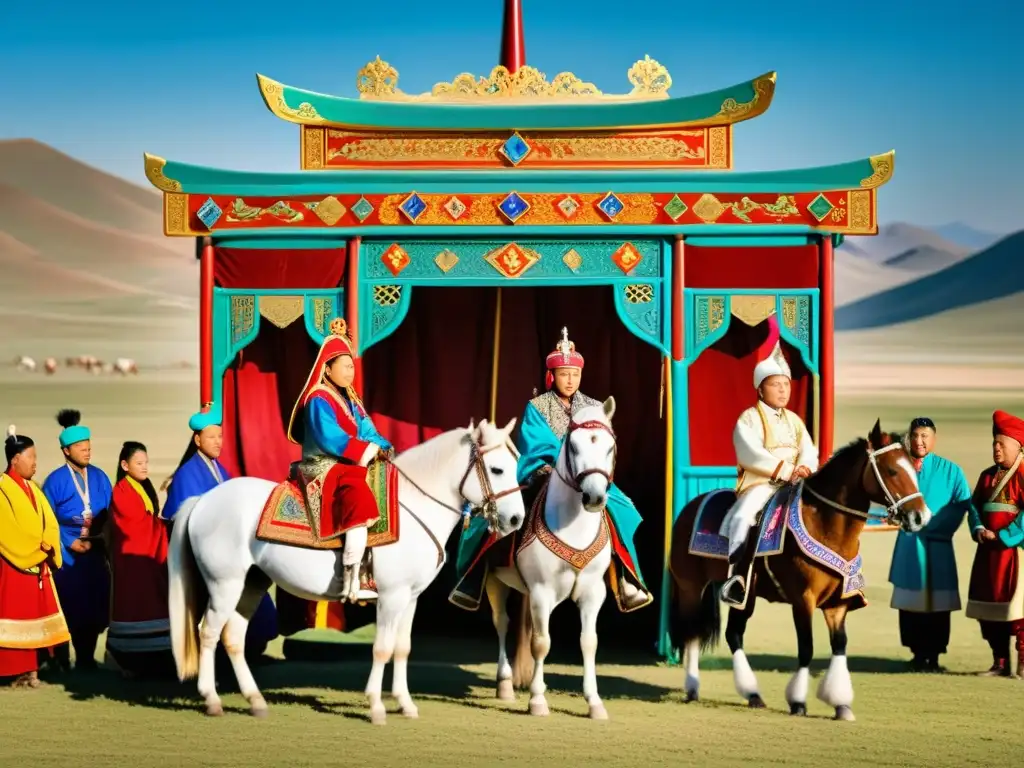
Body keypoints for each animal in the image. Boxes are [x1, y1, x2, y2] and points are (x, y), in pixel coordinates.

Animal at [165, 417, 528, 724]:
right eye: (497, 469)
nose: (515, 520)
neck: (415, 507)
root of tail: (202, 501)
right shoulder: (391, 597)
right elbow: (382, 647)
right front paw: (377, 706)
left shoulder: (410, 599)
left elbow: (403, 648)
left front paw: (405, 704)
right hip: (223, 584)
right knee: (208, 632)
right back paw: (212, 700)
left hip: (252, 583)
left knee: (234, 637)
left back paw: (255, 701)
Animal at [481, 397, 614, 720]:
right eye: (574, 447)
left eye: (609, 447)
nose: (594, 497)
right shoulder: (542, 591)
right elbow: (541, 643)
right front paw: (537, 700)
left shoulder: (593, 592)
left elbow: (589, 642)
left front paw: (594, 702)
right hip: (495, 582)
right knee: (501, 623)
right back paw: (505, 684)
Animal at [667, 421, 933, 720]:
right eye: (892, 470)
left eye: (914, 469)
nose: (921, 517)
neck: (826, 524)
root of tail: (690, 507)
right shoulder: (803, 600)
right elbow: (806, 648)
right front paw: (798, 702)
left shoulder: (837, 604)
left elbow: (839, 644)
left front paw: (840, 704)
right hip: (691, 588)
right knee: (692, 634)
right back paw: (692, 687)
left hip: (745, 595)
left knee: (733, 634)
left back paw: (752, 694)